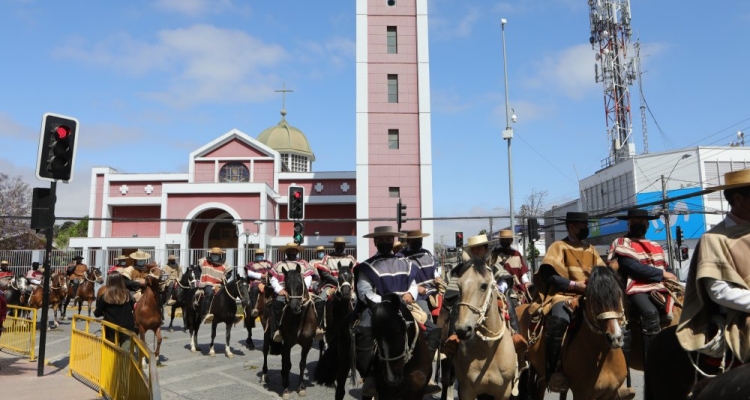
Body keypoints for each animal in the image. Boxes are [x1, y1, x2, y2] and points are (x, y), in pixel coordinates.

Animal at [262, 266, 318, 400]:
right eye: (287, 285)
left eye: (299, 283)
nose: (295, 307)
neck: (299, 319)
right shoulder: (288, 343)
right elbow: (288, 364)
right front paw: (286, 390)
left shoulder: (307, 344)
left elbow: (302, 364)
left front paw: (301, 387)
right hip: (267, 333)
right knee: (265, 351)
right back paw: (265, 374)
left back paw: (283, 376)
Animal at [516, 266, 628, 400]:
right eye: (594, 299)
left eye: (619, 295)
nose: (615, 337)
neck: (605, 359)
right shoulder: (582, 394)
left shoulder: (610, 393)